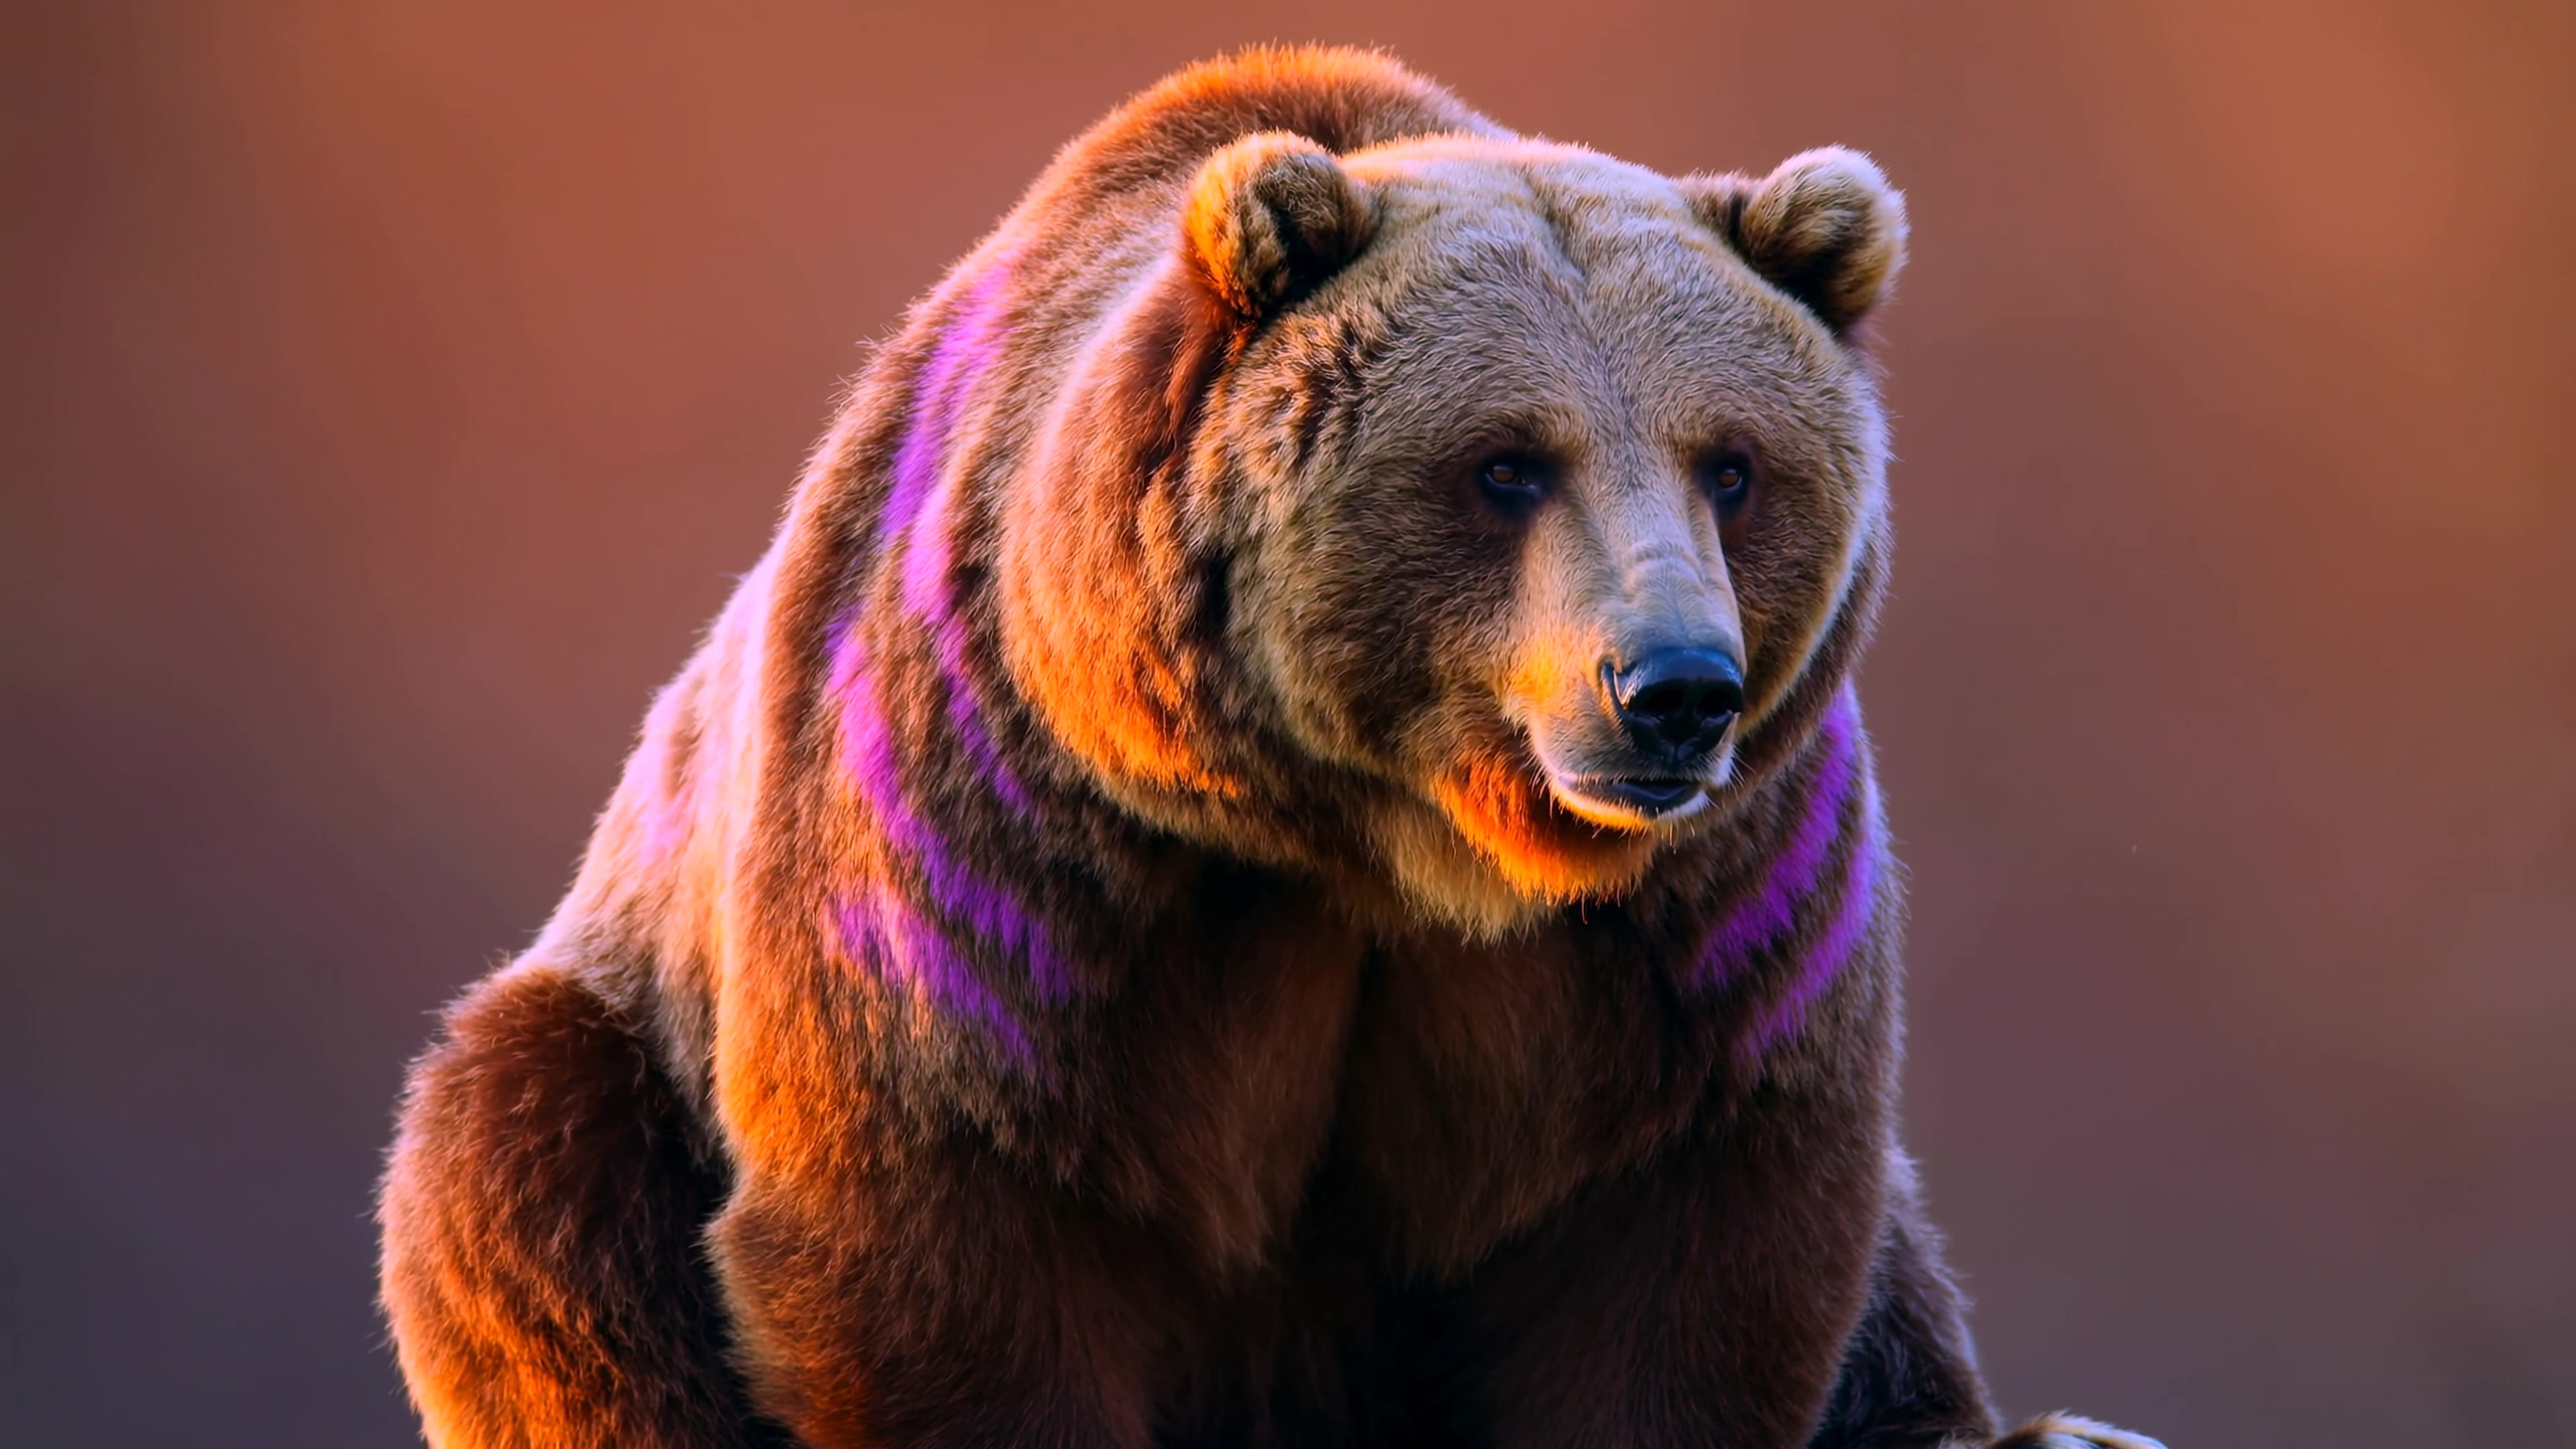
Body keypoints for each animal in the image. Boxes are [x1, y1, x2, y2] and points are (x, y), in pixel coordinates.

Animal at [377, 46, 2160, 1449]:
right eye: (1506, 462)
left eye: (1731, 462)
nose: (1672, 687)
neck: (1376, 838)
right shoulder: (1020, 837)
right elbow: (944, 1220)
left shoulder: (1700, 913)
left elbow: (1685, 1251)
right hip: (606, 1044)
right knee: (523, 1175)